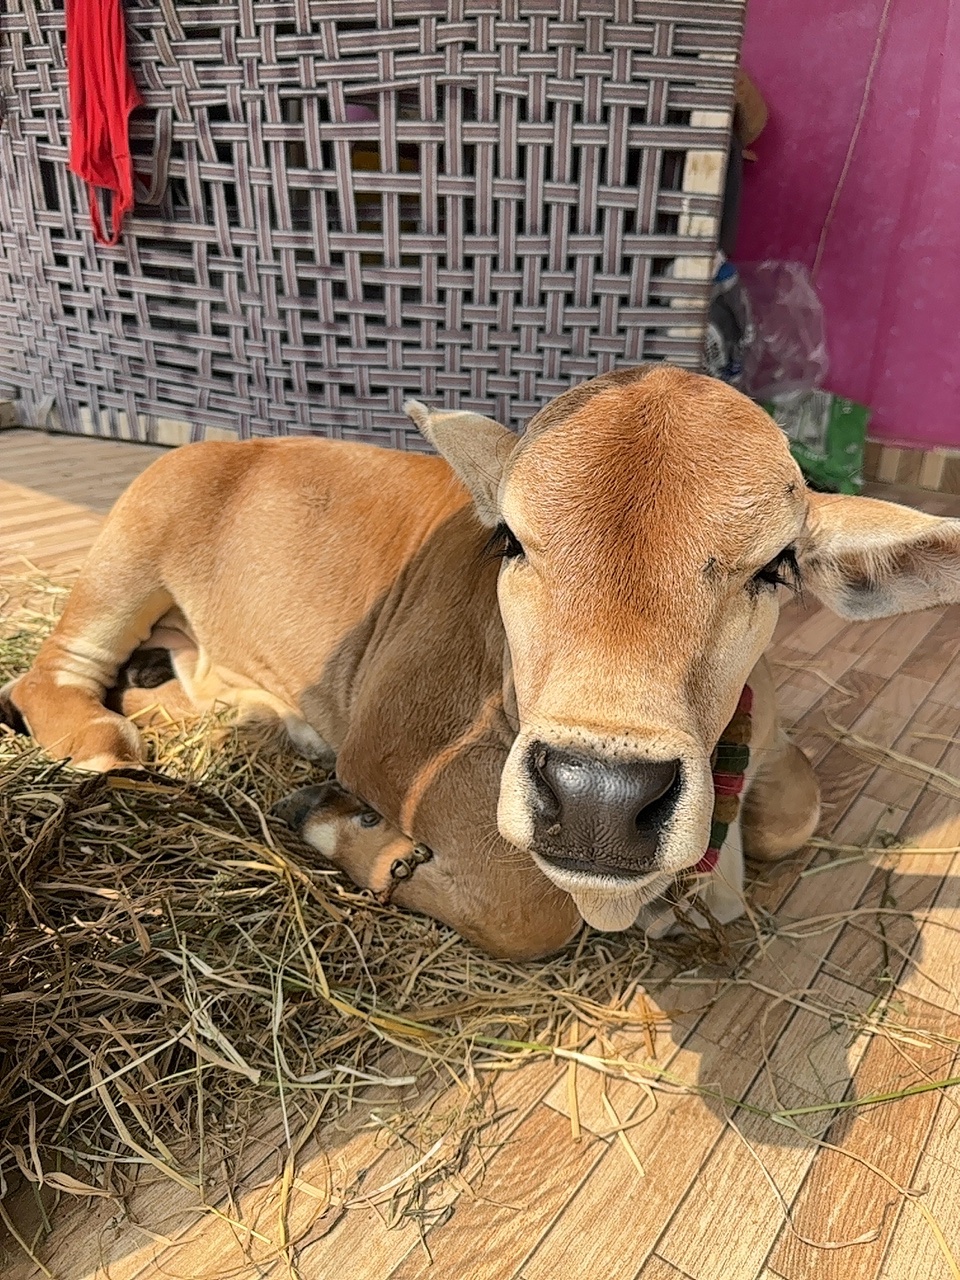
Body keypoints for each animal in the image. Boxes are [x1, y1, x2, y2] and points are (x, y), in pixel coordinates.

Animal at [4, 366, 960, 958]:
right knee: (50, 671)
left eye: (776, 567)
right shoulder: (395, 749)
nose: (600, 800)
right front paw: (340, 826)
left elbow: (792, 813)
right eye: (511, 541)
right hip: (132, 543)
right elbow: (529, 906)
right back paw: (101, 739)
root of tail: (234, 444)